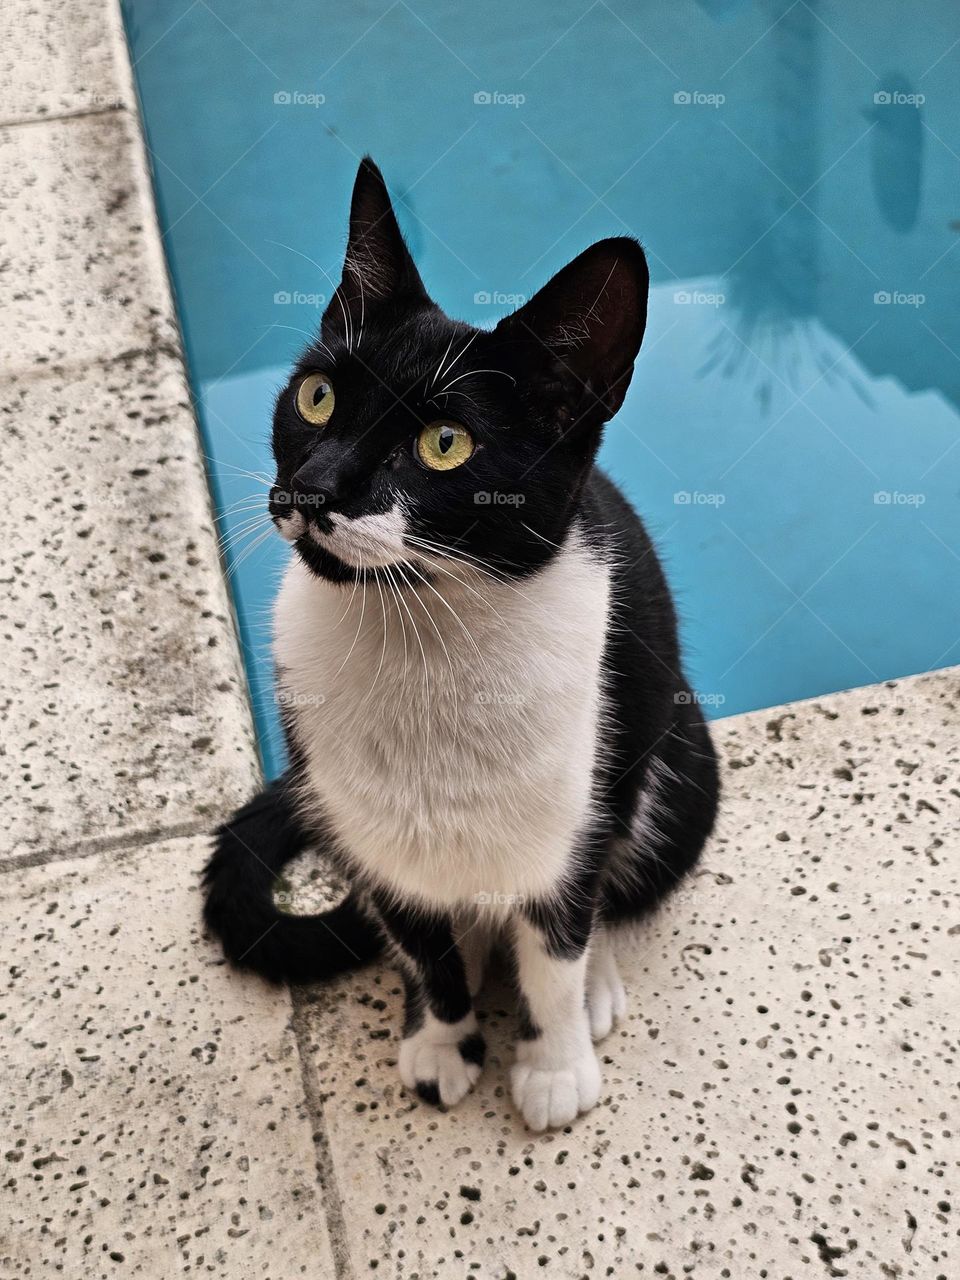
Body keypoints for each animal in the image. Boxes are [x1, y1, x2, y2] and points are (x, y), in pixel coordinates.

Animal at [203, 157, 716, 1131]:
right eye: (317, 396)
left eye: (446, 444)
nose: (313, 488)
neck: (422, 639)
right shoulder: (375, 841)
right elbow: (424, 948)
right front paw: (441, 1040)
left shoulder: (574, 813)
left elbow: (556, 944)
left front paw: (554, 1066)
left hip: (672, 762)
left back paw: (594, 985)